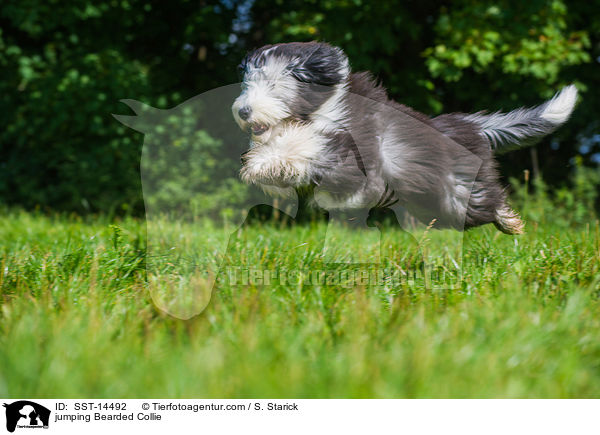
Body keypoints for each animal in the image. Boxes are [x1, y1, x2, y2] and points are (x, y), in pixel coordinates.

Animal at [232, 41, 580, 235]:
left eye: (274, 85)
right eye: (248, 84)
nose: (244, 110)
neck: (322, 109)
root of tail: (465, 124)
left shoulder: (351, 149)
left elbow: (312, 152)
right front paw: (257, 165)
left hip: (456, 192)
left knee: (486, 203)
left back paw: (509, 222)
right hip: (430, 203)